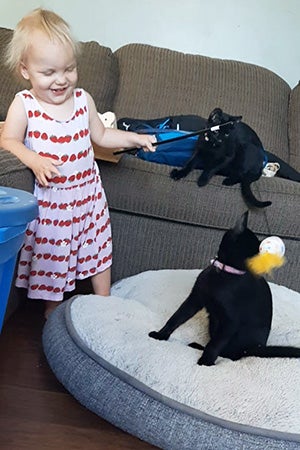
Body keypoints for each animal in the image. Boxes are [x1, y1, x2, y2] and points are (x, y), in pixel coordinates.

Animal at [149, 212, 300, 366]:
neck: (224, 272)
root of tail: (257, 347)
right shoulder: (194, 299)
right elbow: (176, 318)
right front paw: (161, 335)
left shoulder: (231, 321)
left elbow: (215, 344)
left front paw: (206, 362)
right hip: (213, 321)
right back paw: (196, 346)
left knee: (232, 355)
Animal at [170, 108, 300, 208]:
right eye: (216, 132)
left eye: (227, 134)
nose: (220, 141)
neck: (212, 146)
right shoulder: (199, 152)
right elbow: (190, 164)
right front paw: (180, 173)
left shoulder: (227, 156)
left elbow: (212, 167)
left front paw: (202, 179)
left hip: (246, 149)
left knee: (241, 174)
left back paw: (229, 180)